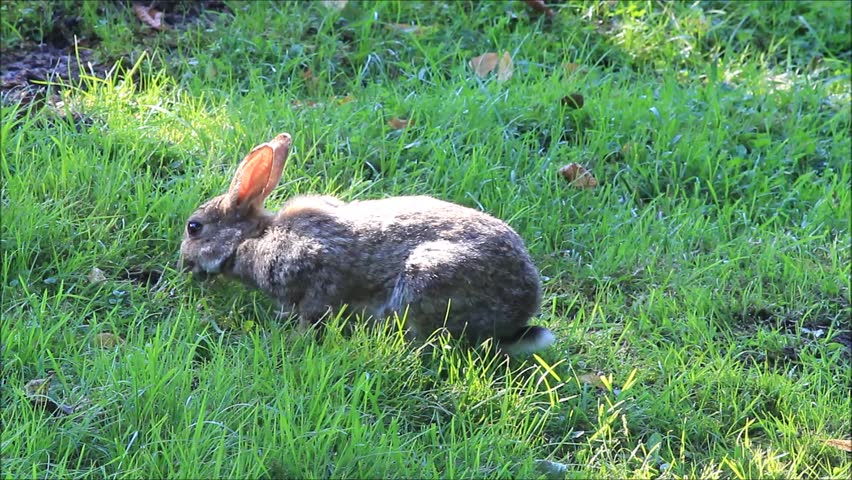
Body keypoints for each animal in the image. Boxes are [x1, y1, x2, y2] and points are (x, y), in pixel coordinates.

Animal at [180, 133, 556, 354]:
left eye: (194, 228)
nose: (184, 265)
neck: (253, 237)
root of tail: (521, 310)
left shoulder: (315, 271)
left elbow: (312, 311)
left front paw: (292, 338)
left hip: (426, 281)